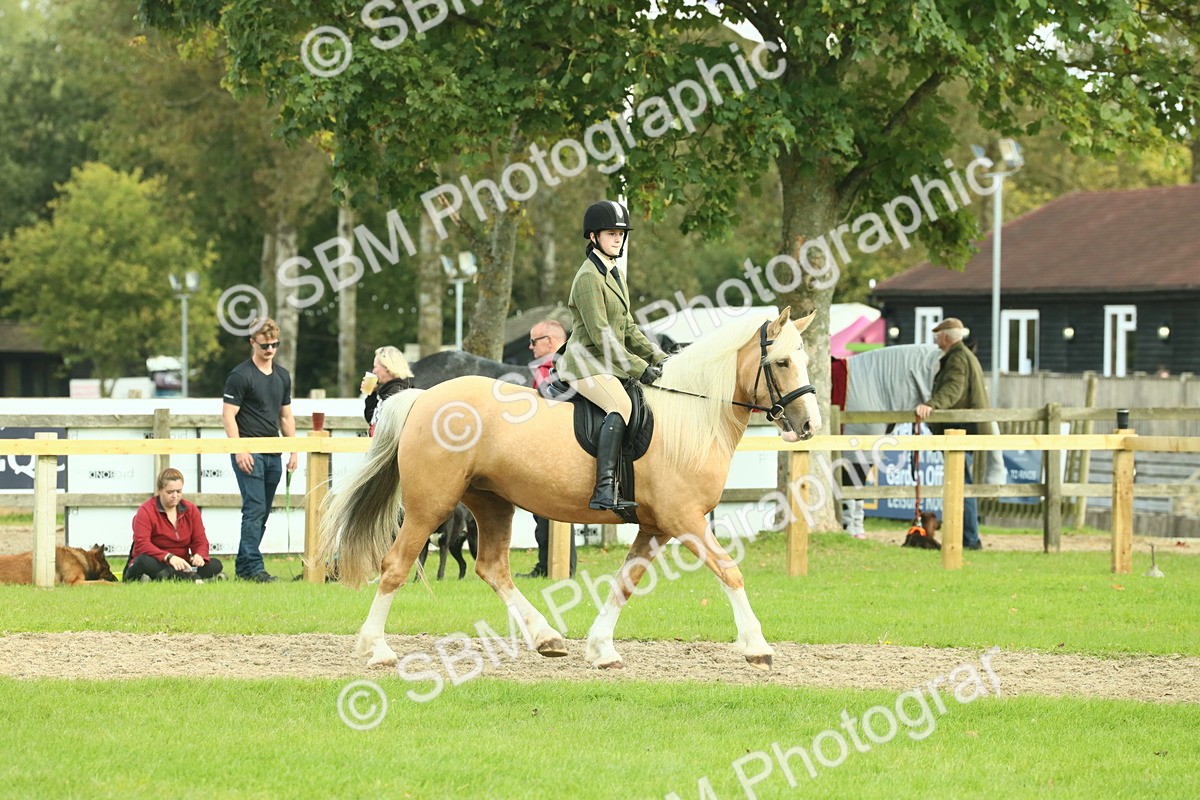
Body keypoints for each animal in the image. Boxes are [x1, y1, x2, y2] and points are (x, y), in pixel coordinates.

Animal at [317, 307, 821, 671]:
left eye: (804, 360)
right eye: (780, 362)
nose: (810, 425)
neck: (690, 416)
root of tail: (423, 396)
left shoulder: (656, 526)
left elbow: (625, 583)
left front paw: (601, 650)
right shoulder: (684, 519)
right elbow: (729, 570)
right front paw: (757, 646)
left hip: (491, 503)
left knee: (492, 568)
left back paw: (547, 638)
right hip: (429, 506)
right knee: (396, 565)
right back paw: (377, 649)